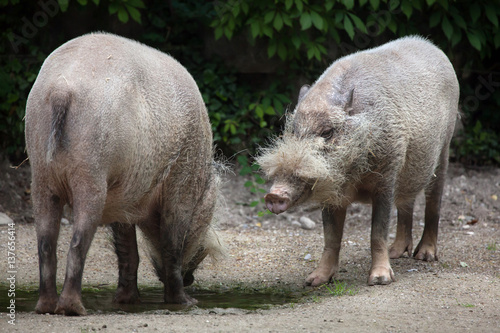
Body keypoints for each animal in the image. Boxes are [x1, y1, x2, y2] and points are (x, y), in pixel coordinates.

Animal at [25, 33, 223, 314]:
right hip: (91, 170)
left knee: (45, 242)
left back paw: (45, 307)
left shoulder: (124, 194)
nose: (191, 279)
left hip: (40, 169)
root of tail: (61, 88)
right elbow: (171, 242)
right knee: (78, 240)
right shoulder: (181, 181)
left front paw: (126, 301)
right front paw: (185, 303)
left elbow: (128, 248)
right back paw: (74, 309)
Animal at [260, 36, 458, 286]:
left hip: (444, 149)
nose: (273, 195)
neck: (352, 174)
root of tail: (433, 47)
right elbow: (331, 236)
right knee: (406, 203)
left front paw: (380, 280)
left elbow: (377, 231)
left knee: (434, 201)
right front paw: (313, 281)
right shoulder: (331, 193)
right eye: (293, 132)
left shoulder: (387, 176)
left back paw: (424, 256)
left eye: (327, 132)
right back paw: (397, 252)